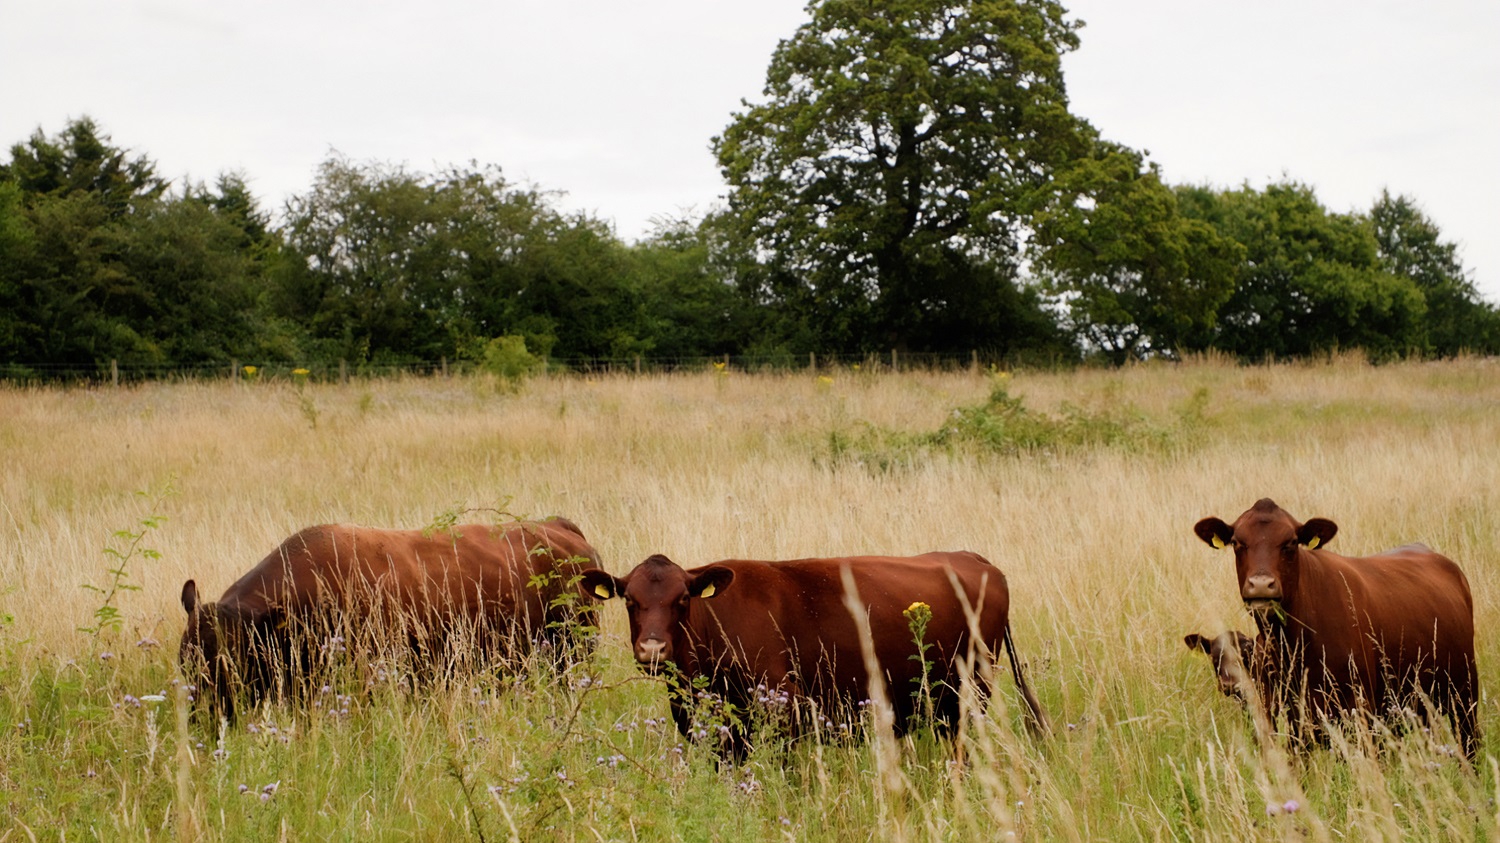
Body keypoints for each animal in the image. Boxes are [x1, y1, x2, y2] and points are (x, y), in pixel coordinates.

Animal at [579, 552, 1050, 756]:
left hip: (971, 692)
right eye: (630, 601)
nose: (652, 648)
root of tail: (974, 559)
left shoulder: (783, 709)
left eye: (681, 600)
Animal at [1194, 498, 1476, 756]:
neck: (1295, 645)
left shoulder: (1360, 711)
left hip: (1464, 695)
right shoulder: (1287, 718)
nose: (1261, 584)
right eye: (1237, 543)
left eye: (1291, 543)